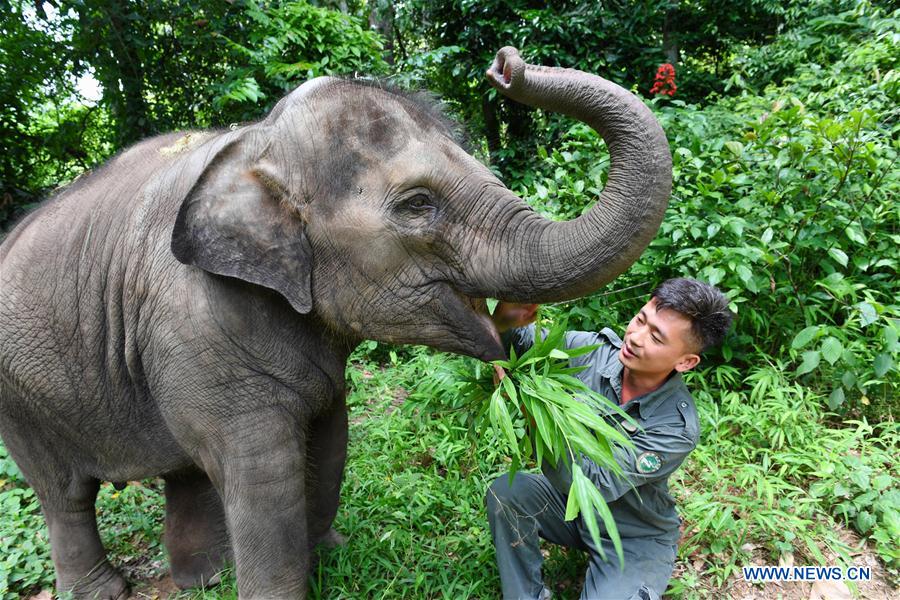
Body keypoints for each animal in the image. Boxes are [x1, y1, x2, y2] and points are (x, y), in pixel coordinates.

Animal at [0, 47, 671, 598]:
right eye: (417, 205)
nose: (506, 64)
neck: (257, 142)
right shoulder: (197, 324)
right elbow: (264, 474)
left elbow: (330, 436)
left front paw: (329, 556)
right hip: (20, 394)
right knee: (64, 493)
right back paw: (105, 590)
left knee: (181, 467)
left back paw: (205, 577)